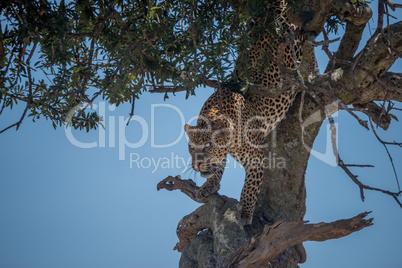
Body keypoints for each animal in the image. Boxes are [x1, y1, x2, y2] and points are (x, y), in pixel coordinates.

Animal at [184, 0, 306, 224]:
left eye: (206, 147)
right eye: (190, 148)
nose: (197, 166)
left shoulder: (256, 157)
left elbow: (250, 186)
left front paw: (245, 213)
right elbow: (219, 164)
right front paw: (210, 185)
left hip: (293, 44)